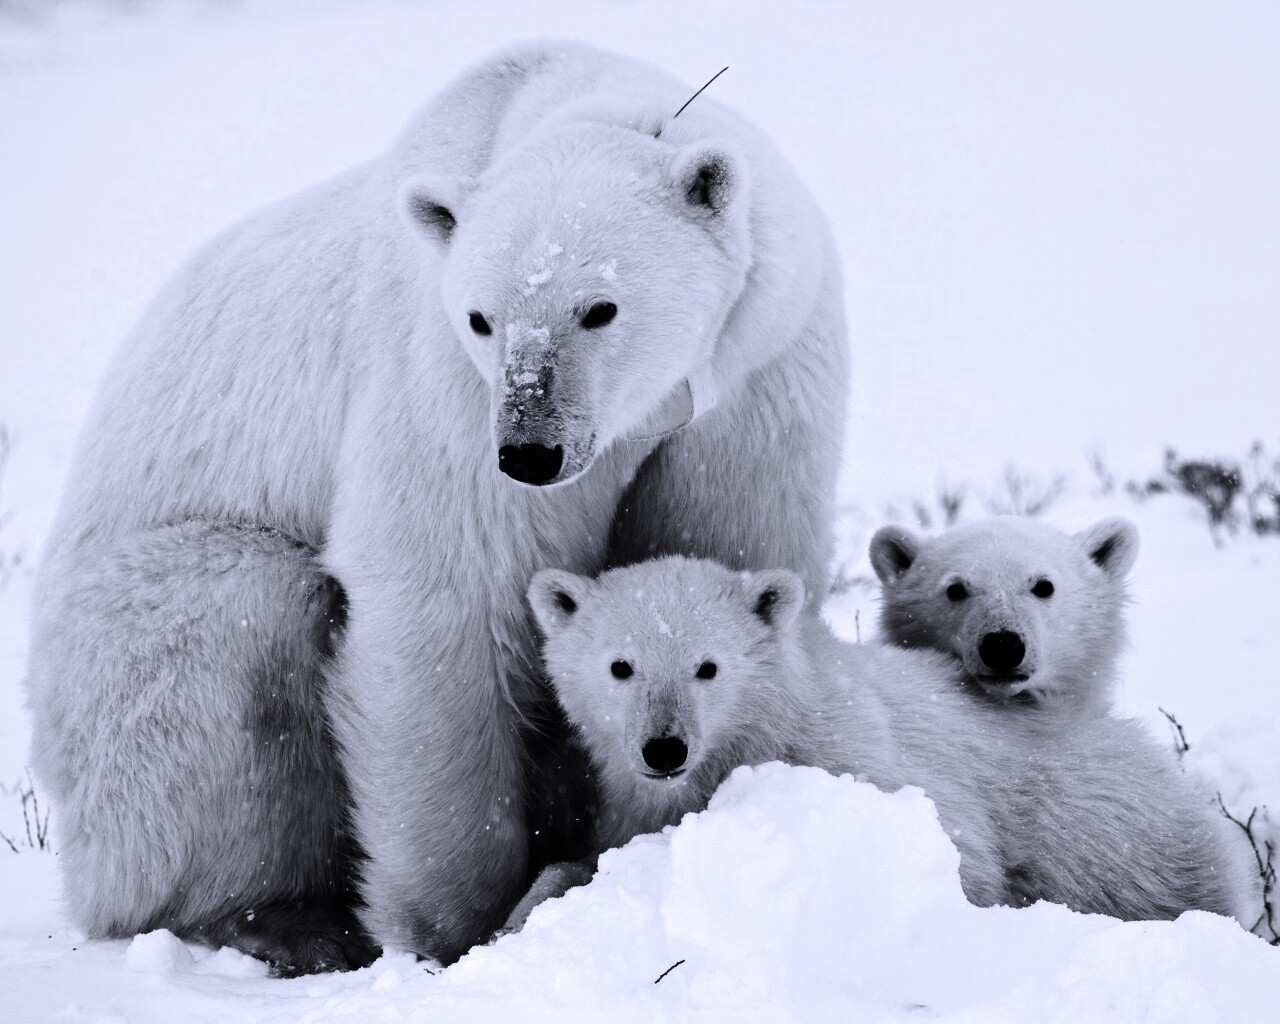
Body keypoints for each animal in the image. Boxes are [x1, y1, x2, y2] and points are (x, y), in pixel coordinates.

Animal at [22, 44, 849, 972]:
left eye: (600, 307)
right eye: (482, 317)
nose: (530, 452)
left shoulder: (757, 376)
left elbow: (722, 548)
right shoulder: (442, 381)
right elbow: (444, 591)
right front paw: (463, 925)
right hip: (123, 657)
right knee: (238, 632)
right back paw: (286, 920)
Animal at [509, 555, 1249, 931]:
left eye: (708, 667)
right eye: (620, 666)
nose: (663, 749)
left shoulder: (855, 760)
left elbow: (960, 860)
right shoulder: (632, 801)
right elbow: (586, 857)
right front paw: (522, 911)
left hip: (1108, 826)